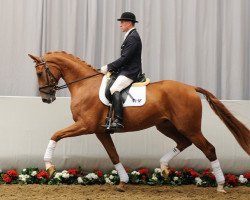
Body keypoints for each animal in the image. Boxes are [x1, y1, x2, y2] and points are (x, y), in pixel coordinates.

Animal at [28, 51, 249, 192]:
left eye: (39, 73)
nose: (46, 98)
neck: (85, 85)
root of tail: (191, 88)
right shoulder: (100, 131)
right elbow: (113, 155)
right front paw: (123, 181)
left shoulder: (85, 125)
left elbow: (55, 134)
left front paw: (49, 166)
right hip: (165, 125)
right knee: (183, 142)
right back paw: (164, 167)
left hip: (189, 127)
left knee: (209, 149)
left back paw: (220, 185)